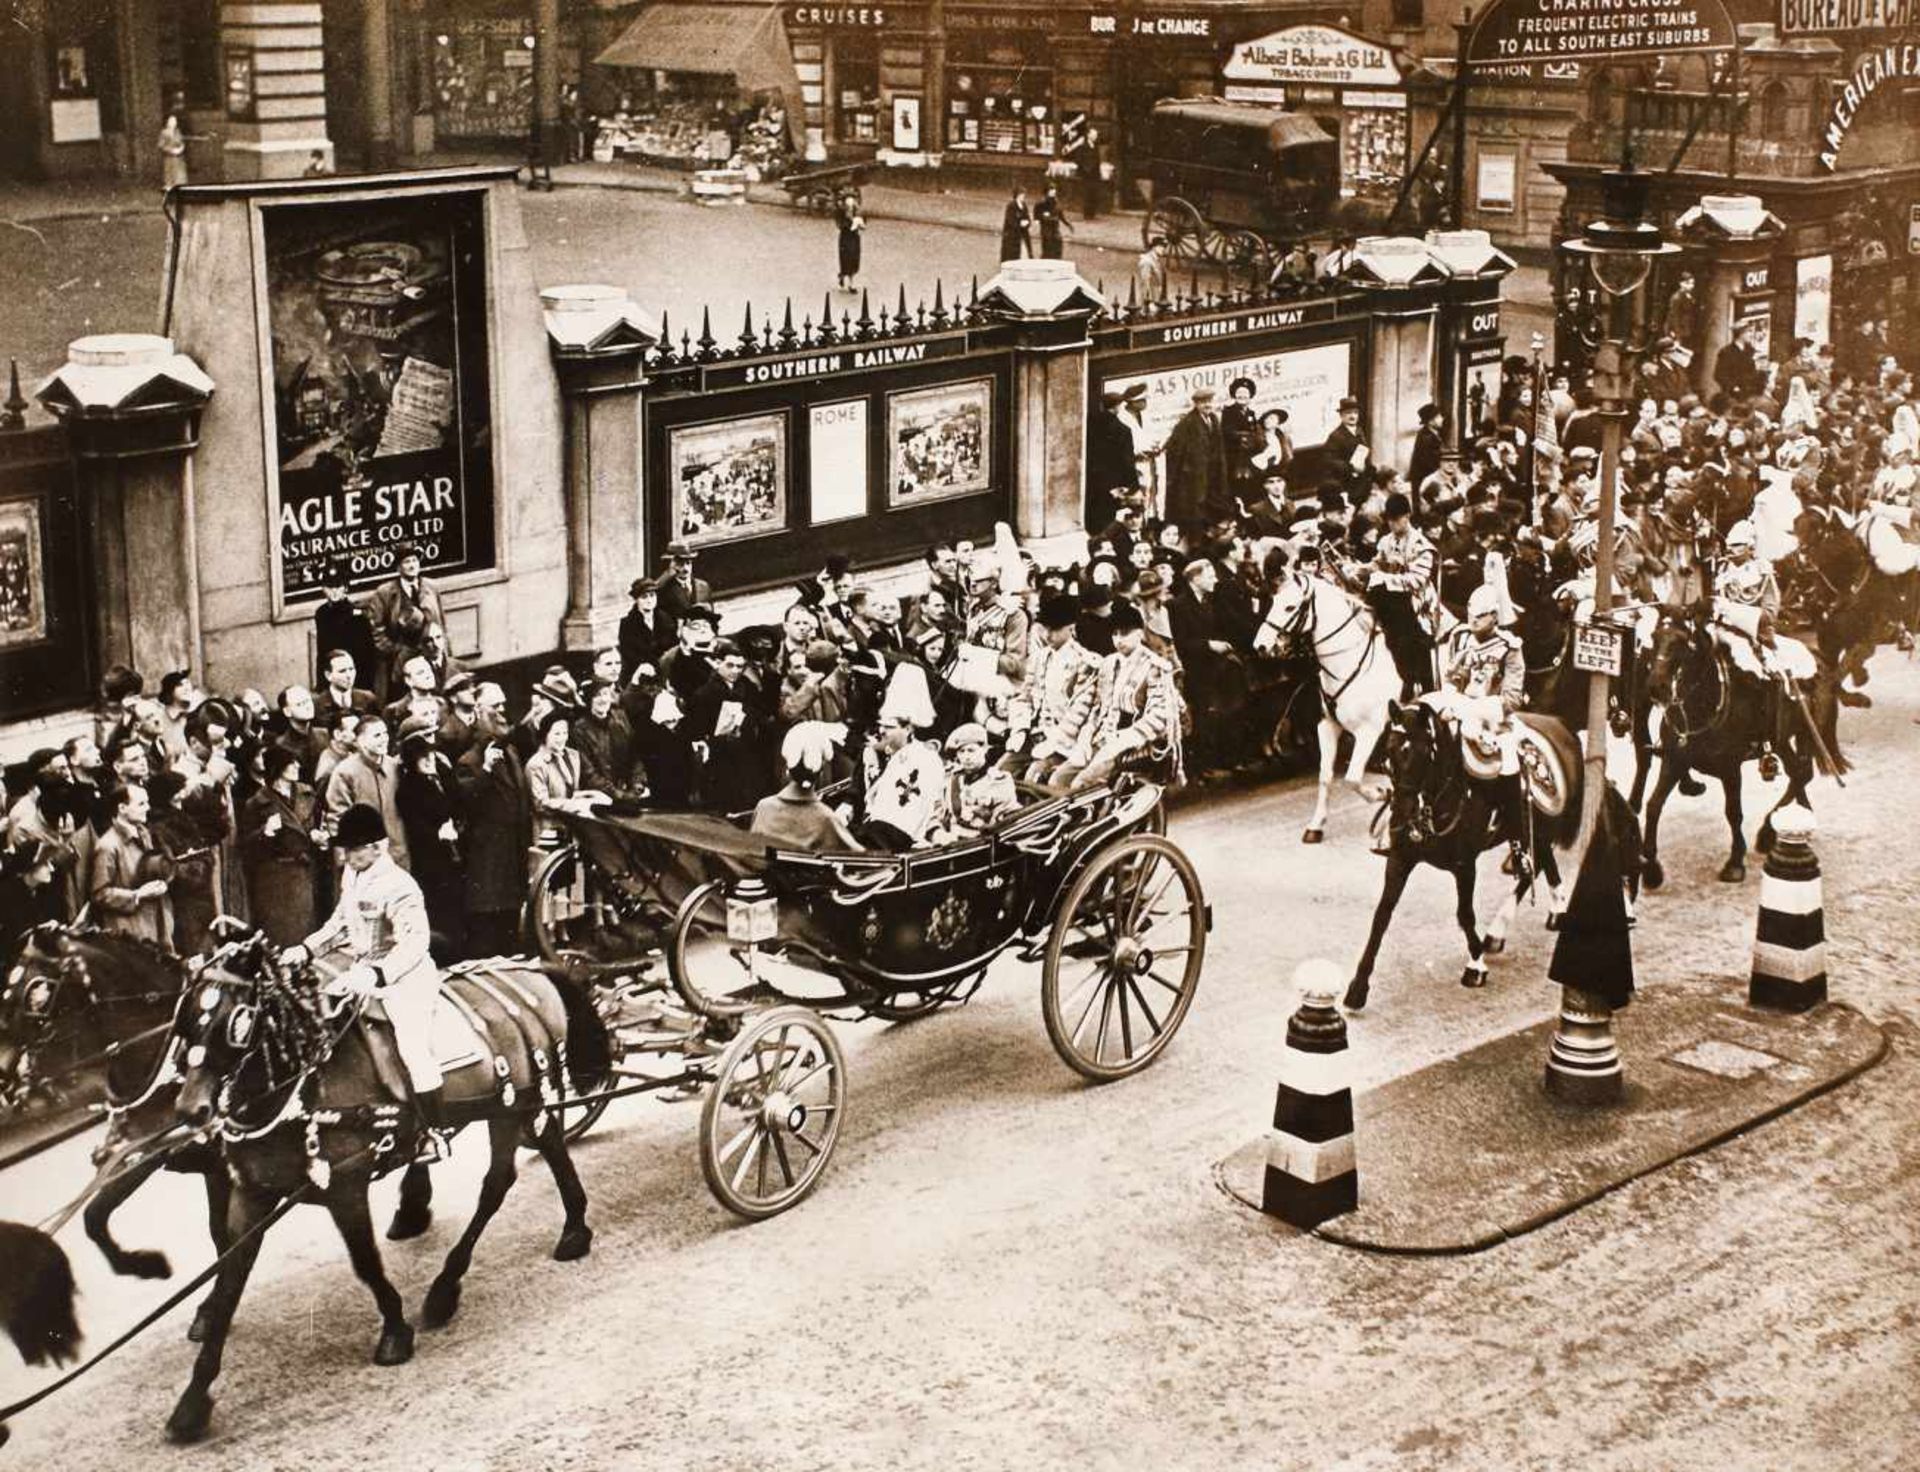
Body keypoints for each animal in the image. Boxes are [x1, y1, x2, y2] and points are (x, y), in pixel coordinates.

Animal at [1251, 571, 1405, 844]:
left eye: (1290, 607)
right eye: (1273, 601)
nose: (1260, 646)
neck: (1349, 663)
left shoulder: (1370, 731)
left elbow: (1353, 778)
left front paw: (1380, 794)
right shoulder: (1327, 725)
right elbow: (1325, 776)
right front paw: (1316, 825)